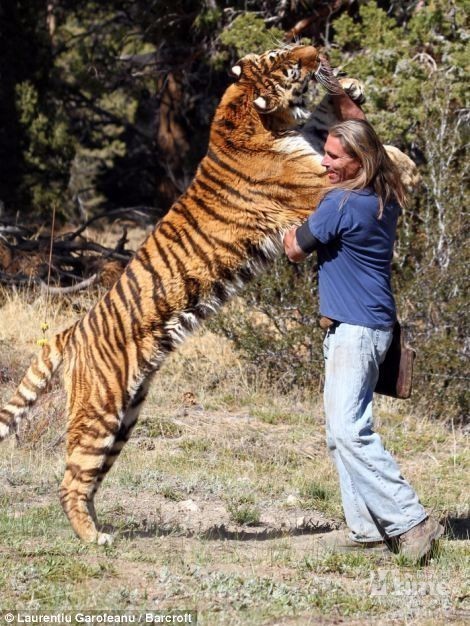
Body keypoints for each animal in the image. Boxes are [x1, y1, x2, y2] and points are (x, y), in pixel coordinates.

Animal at [0, 44, 418, 540]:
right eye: (289, 66)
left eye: (285, 51)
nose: (315, 50)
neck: (255, 117)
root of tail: (70, 331)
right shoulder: (320, 184)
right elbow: (373, 165)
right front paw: (405, 166)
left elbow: (331, 123)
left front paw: (352, 92)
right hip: (98, 412)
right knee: (70, 480)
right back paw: (94, 537)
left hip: (125, 418)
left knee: (88, 479)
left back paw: (103, 527)